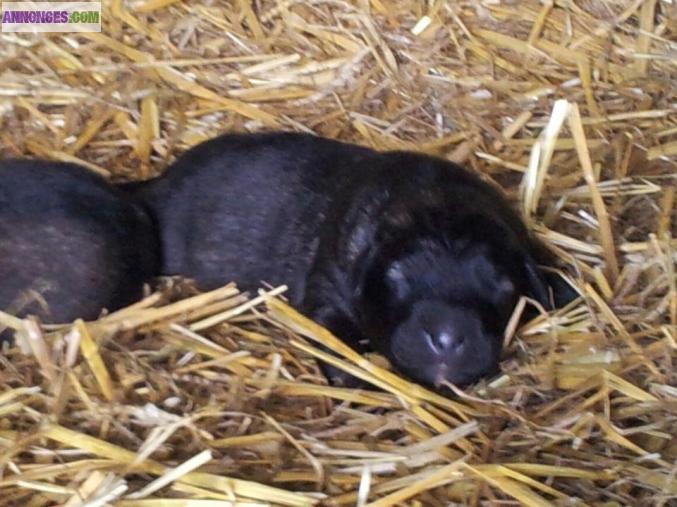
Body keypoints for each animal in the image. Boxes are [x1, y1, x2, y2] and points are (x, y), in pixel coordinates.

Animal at [127, 132, 564, 388]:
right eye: (396, 277)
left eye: (504, 286)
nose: (446, 337)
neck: (433, 204)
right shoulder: (326, 286)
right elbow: (332, 336)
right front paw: (357, 380)